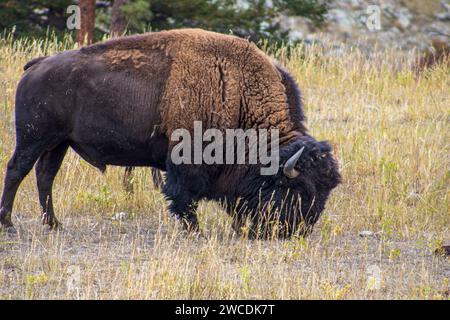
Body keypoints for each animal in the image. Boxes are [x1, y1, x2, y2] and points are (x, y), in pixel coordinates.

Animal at [0, 29, 340, 238]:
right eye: (297, 190)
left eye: (326, 190)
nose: (298, 231)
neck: (236, 94)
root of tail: (37, 65)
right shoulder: (185, 162)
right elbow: (182, 196)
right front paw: (194, 230)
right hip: (34, 139)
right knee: (17, 170)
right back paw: (9, 224)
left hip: (58, 143)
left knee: (45, 176)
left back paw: (54, 224)